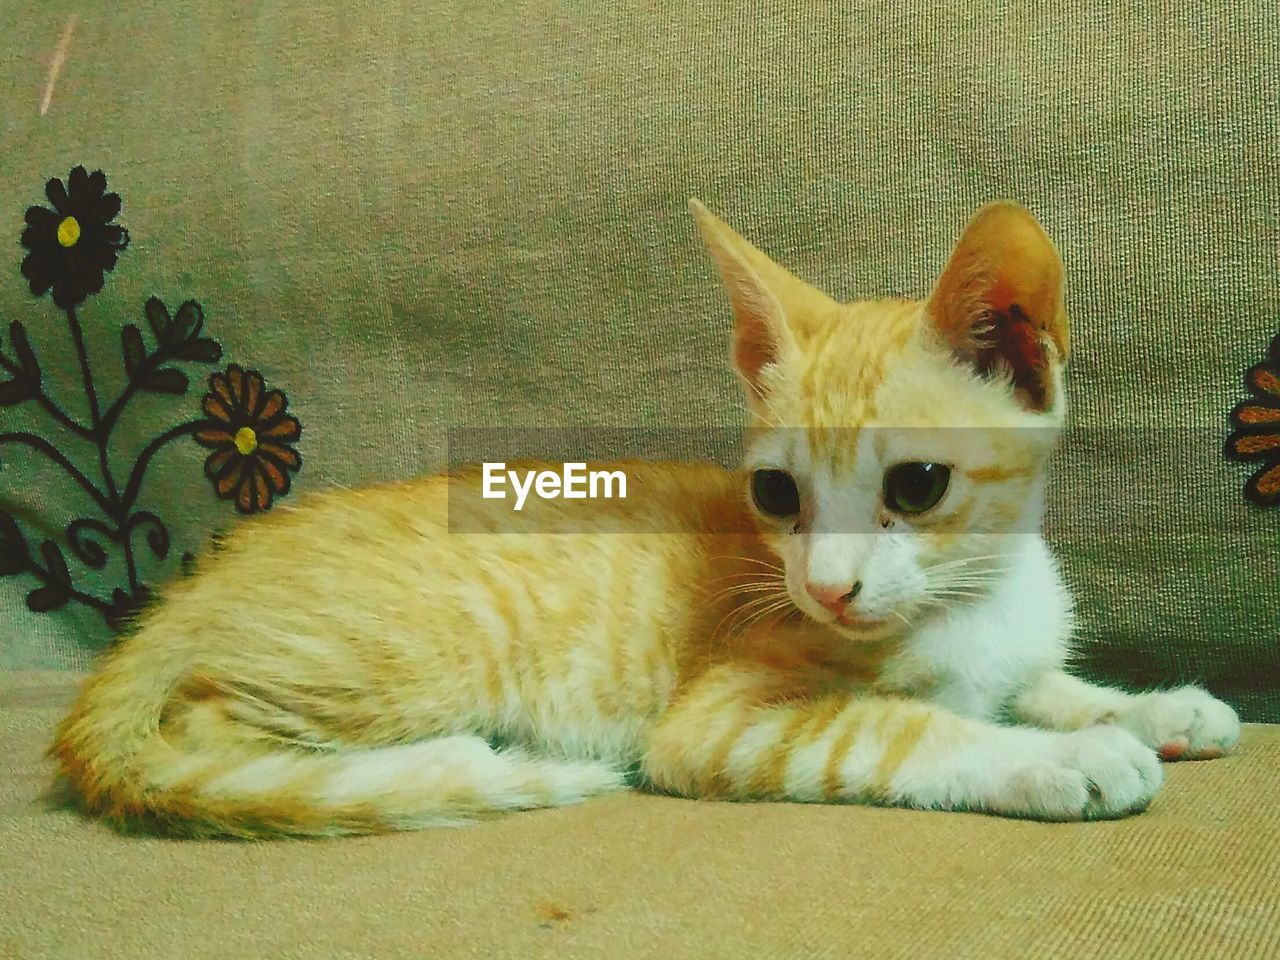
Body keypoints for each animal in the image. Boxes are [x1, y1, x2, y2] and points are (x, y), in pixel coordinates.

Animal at [49, 200, 1239, 834]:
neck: (971, 600)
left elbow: (1045, 684)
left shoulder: (1005, 642)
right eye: (776, 495)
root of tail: (176, 603)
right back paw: (456, 761)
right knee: (208, 736)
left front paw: (1147, 705)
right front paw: (1064, 756)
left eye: (913, 488)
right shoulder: (725, 715)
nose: (826, 588)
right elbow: (906, 726)